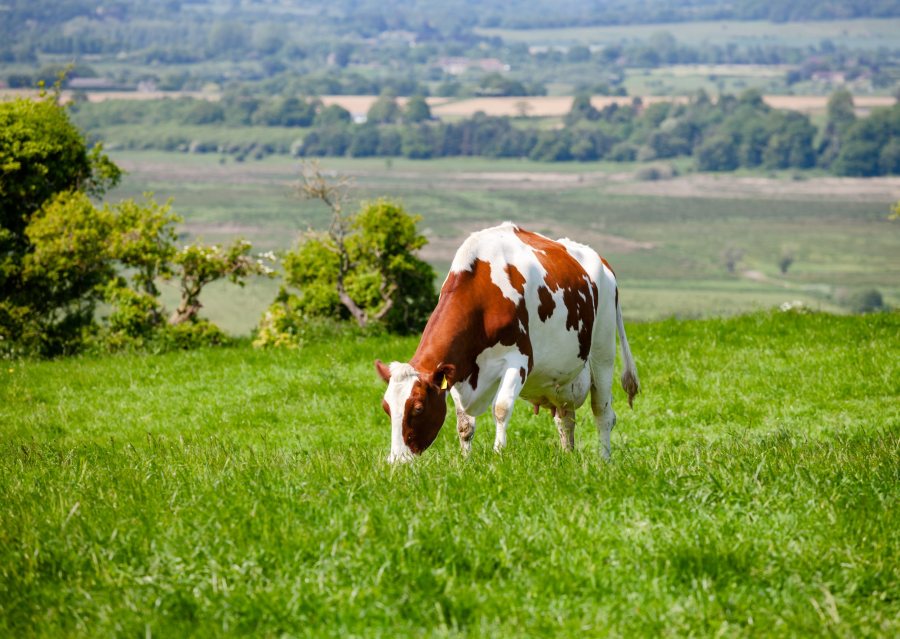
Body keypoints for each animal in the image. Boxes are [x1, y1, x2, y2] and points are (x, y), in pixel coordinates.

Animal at [372, 222, 640, 462]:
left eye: (418, 408)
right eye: (386, 407)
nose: (396, 461)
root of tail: (601, 261)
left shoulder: (518, 360)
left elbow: (500, 409)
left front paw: (498, 456)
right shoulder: (458, 369)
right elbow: (464, 423)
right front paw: (465, 462)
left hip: (603, 350)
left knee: (603, 412)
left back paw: (604, 460)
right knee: (565, 418)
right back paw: (568, 457)